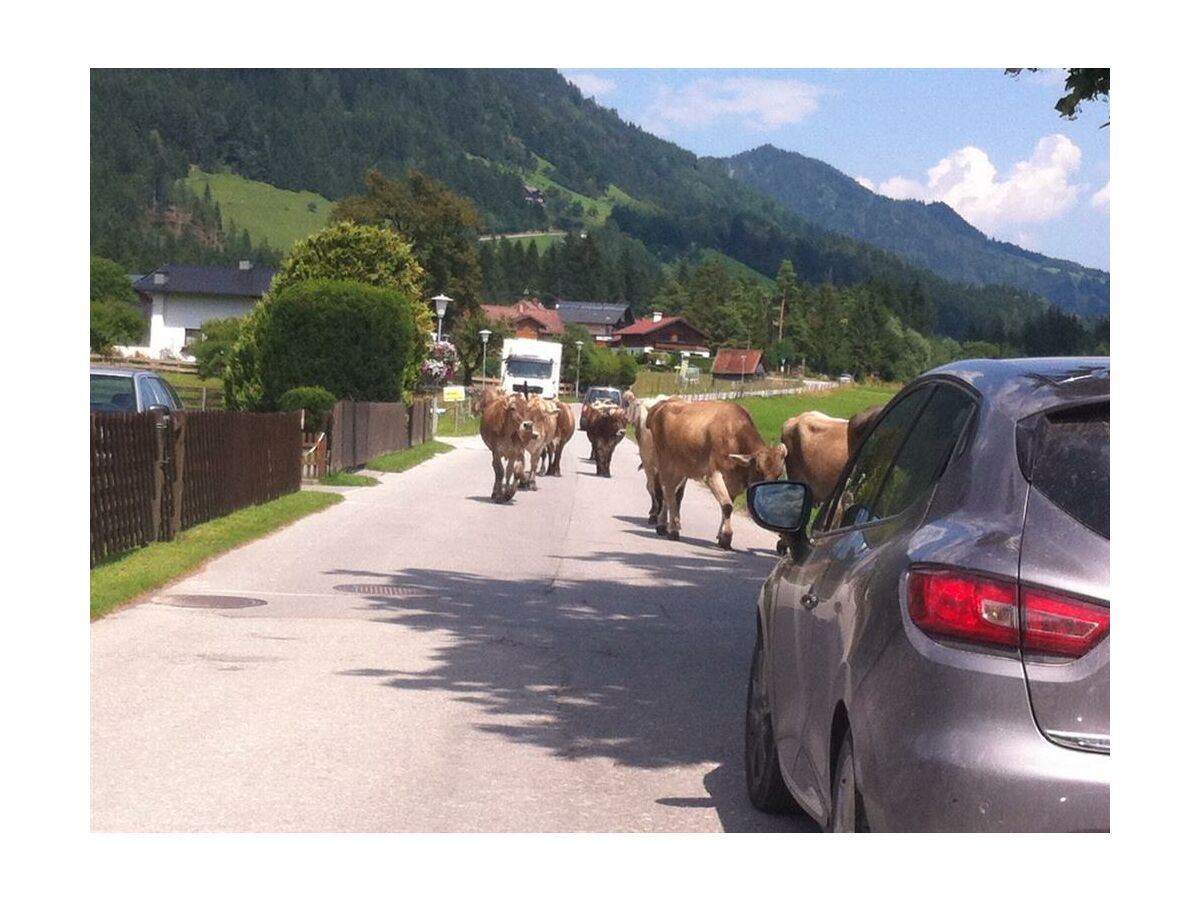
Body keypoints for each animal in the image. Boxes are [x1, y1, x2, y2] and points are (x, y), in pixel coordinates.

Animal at [648, 400, 787, 549]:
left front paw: (721, 536)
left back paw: (664, 526)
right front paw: (727, 537)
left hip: (681, 470)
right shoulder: (713, 475)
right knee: (668, 494)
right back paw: (671, 530)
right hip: (666, 466)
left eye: (779, 474)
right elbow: (727, 506)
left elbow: (726, 505)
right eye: (758, 470)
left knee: (671, 495)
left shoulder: (732, 483)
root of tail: (662, 406)